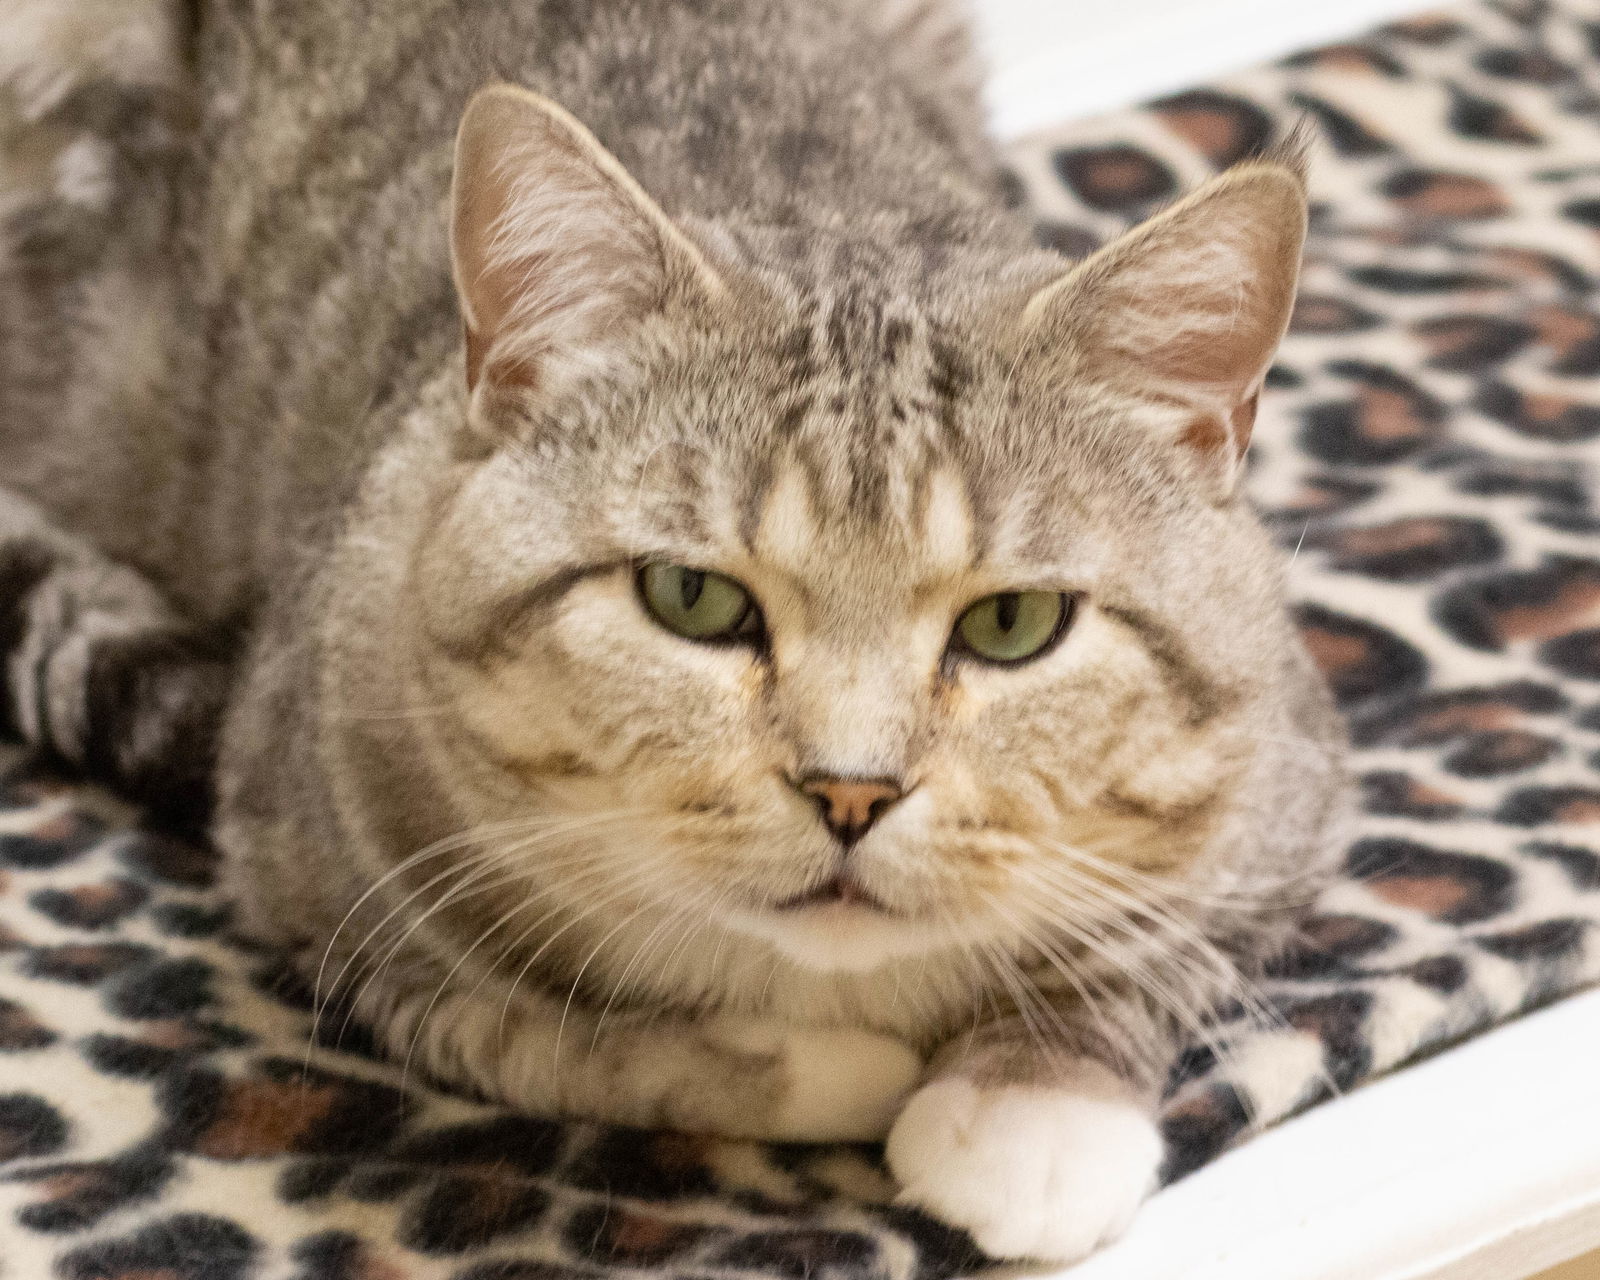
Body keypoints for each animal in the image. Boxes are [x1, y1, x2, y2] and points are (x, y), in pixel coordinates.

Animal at [0, 0, 1350, 1260]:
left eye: (1014, 622)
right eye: (691, 599)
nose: (850, 789)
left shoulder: (1284, 788)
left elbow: (1156, 943)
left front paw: (1033, 1104)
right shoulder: (320, 866)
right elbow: (538, 1032)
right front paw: (830, 1066)